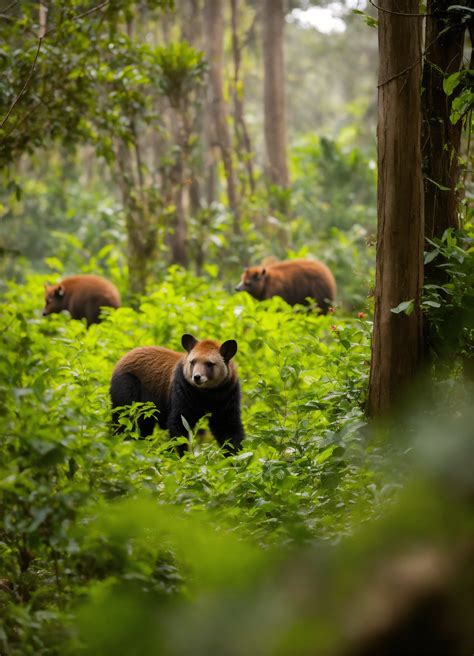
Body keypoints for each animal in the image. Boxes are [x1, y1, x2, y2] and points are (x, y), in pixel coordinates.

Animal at [110, 334, 244, 456]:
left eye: (210, 364)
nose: (197, 377)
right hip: (126, 392)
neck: (207, 394)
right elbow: (178, 426)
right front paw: (185, 458)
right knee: (123, 423)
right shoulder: (182, 390)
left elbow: (228, 428)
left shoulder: (228, 394)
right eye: (192, 362)